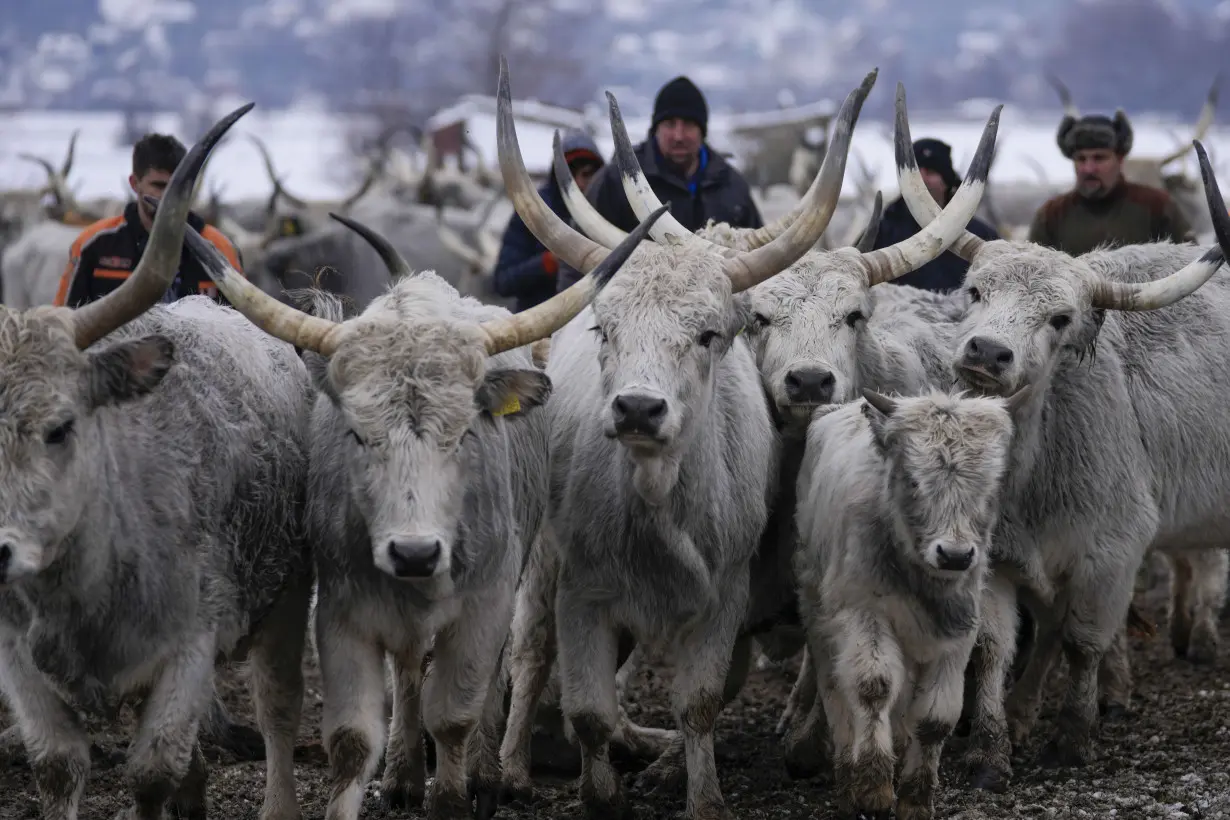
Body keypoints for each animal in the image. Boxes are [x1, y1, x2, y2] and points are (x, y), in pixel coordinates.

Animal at [0, 105, 312, 820]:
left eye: (61, 428)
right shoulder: (18, 660)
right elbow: (58, 767)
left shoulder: (191, 645)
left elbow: (152, 772)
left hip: (288, 595)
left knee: (278, 710)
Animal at [184, 72, 664, 820]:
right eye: (358, 433)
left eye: (465, 430)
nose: (414, 552)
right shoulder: (344, 612)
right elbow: (353, 736)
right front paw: (389, 778)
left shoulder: (483, 607)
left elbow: (456, 715)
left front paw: (458, 791)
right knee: (409, 673)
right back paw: (406, 772)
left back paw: (484, 773)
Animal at [900, 92, 1230, 791]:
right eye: (976, 291)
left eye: (1060, 319)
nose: (987, 351)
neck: (1034, 467)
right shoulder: (992, 560)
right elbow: (992, 649)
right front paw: (990, 751)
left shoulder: (1112, 555)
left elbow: (1085, 641)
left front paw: (1075, 738)